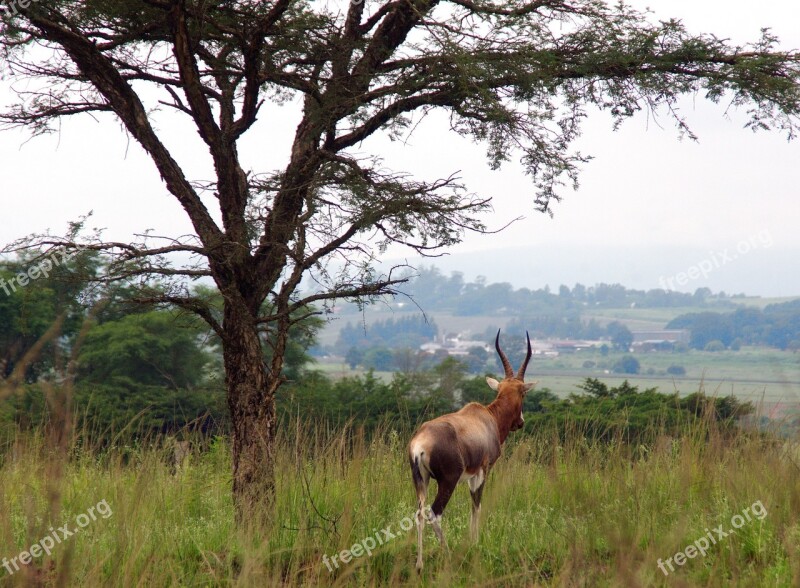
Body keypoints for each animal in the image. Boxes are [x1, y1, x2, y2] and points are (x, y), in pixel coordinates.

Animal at [410, 328, 536, 568]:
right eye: (524, 393)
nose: (520, 422)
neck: (487, 417)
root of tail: (421, 443)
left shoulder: (470, 475)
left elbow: (472, 505)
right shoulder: (483, 470)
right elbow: (477, 504)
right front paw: (475, 543)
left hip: (421, 480)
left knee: (419, 513)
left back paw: (419, 565)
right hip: (447, 481)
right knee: (434, 513)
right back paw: (448, 554)